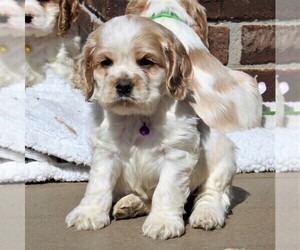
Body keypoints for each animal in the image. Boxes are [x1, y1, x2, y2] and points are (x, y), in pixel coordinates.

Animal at [66, 15, 237, 240]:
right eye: (106, 63)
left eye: (146, 61)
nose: (123, 85)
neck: (136, 116)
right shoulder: (105, 152)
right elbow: (98, 185)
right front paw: (88, 214)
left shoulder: (176, 155)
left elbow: (166, 190)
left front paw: (162, 222)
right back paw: (130, 204)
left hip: (222, 153)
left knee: (213, 192)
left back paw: (206, 214)